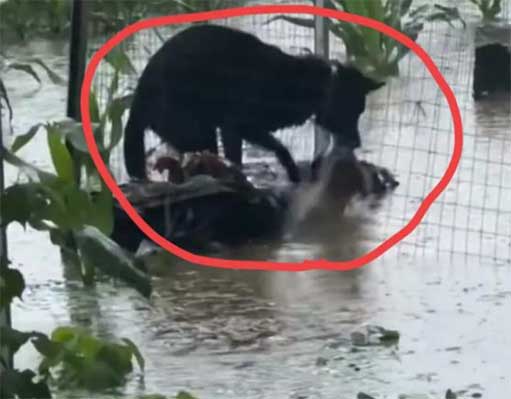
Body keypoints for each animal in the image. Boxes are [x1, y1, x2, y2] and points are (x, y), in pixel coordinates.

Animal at [124, 23, 384, 183]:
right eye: (352, 111)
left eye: (360, 111)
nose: (357, 143)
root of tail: (139, 96)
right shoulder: (237, 126)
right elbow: (275, 149)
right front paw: (289, 172)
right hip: (195, 131)